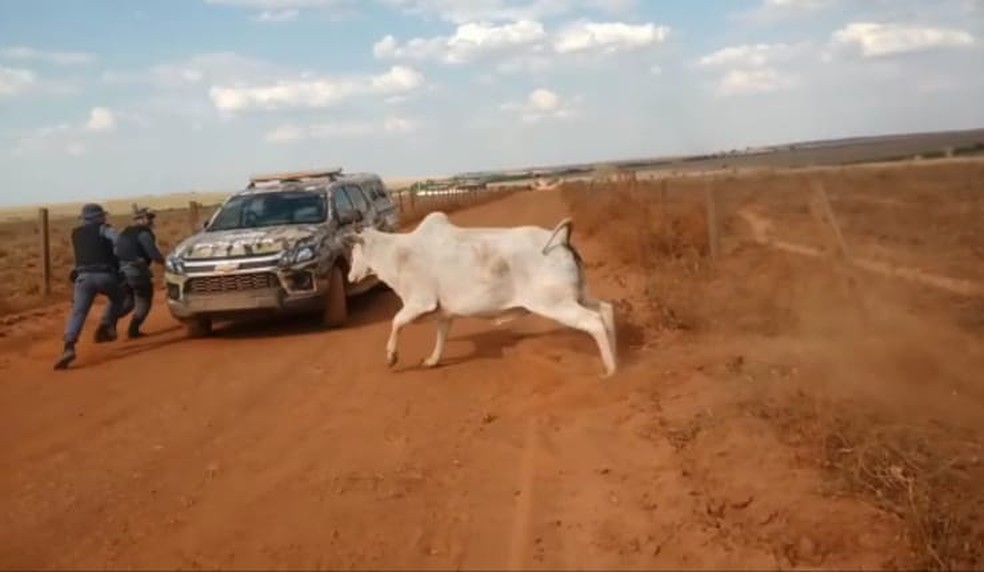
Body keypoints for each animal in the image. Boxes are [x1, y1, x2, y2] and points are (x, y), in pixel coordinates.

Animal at [343, 211, 618, 377]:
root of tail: (560, 239)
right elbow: (441, 337)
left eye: (354, 251)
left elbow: (396, 322)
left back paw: (610, 369)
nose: (349, 277)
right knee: (606, 310)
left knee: (593, 321)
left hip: (554, 304)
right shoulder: (444, 313)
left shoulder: (420, 302)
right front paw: (432, 361)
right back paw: (617, 357)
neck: (396, 254)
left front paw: (391, 357)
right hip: (579, 296)